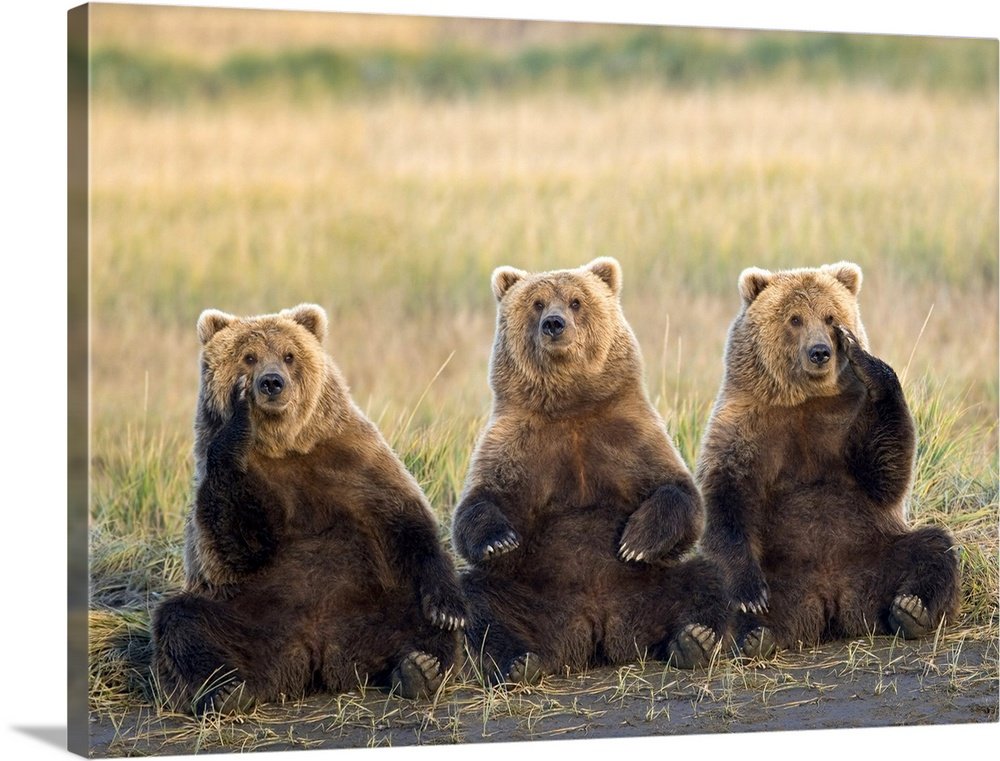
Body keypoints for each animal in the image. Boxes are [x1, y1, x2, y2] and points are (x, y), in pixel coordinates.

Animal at [152, 303, 466, 715]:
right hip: (250, 616)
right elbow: (233, 543)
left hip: (371, 607)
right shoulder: (230, 474)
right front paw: (239, 417)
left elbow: (407, 521)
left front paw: (447, 609)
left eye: (289, 355)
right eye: (249, 357)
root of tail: (315, 654)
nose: (272, 383)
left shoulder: (350, 461)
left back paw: (419, 668)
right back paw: (227, 690)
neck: (283, 446)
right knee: (183, 622)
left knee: (416, 619)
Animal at [452, 258, 729, 684]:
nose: (554, 323)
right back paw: (521, 661)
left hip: (653, 585)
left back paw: (693, 640)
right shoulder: (516, 443)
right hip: (531, 596)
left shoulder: (627, 434)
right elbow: (480, 502)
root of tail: (597, 626)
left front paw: (636, 541)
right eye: (536, 302)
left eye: (576, 300)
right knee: (479, 601)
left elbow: (678, 491)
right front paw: (499, 540)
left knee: (707, 578)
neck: (570, 407)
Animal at [697, 262, 961, 657]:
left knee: (933, 547)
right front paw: (750, 594)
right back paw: (743, 635)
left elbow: (885, 469)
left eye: (830, 316)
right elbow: (726, 495)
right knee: (711, 585)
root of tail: (831, 598)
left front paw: (864, 359)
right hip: (786, 573)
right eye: (794, 318)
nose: (820, 351)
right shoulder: (744, 426)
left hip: (875, 553)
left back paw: (912, 609)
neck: (803, 400)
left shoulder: (847, 419)